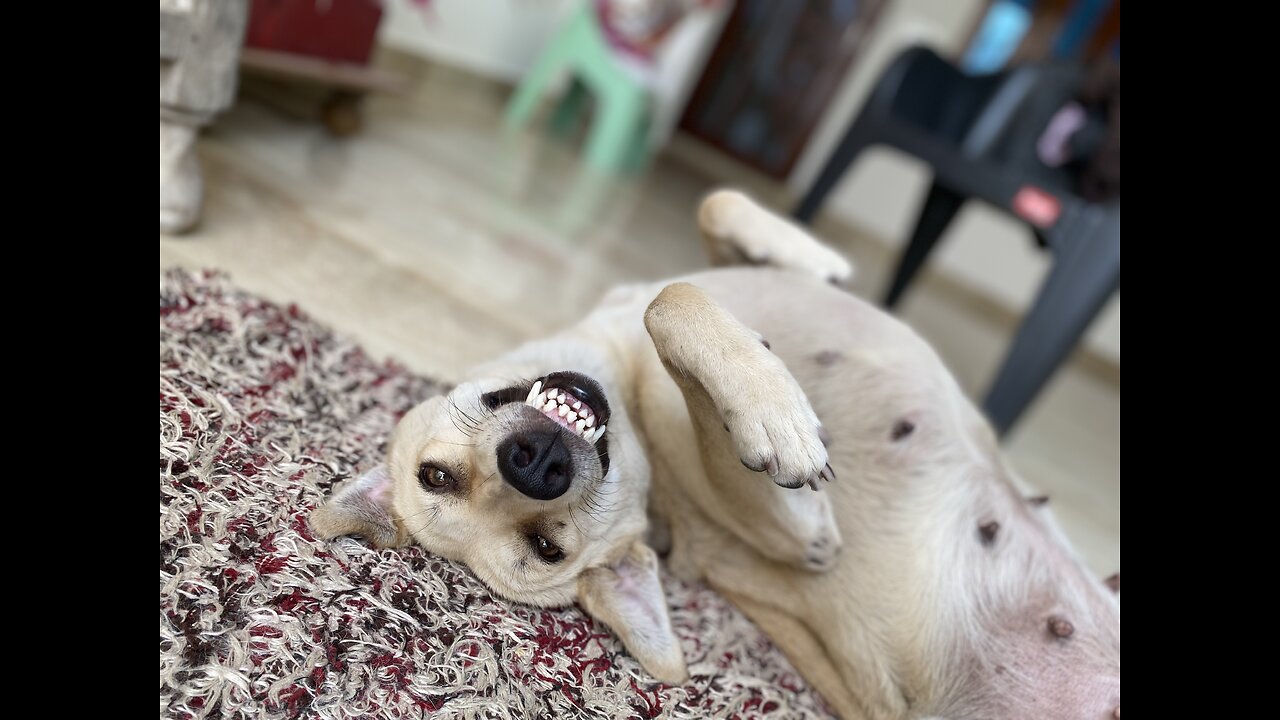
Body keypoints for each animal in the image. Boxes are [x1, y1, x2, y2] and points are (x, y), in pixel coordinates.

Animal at [314, 188, 1126, 712]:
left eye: (436, 476)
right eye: (548, 550)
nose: (536, 466)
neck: (625, 384)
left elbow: (712, 211)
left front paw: (811, 257)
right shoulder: (779, 525)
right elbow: (672, 306)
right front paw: (776, 420)